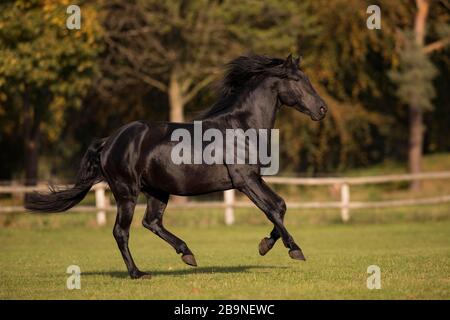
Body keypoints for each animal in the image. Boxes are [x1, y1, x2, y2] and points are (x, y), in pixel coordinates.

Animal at [27, 54, 326, 278]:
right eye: (297, 80)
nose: (322, 109)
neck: (243, 127)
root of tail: (109, 141)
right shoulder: (245, 180)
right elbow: (273, 208)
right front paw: (294, 249)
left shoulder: (253, 179)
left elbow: (280, 207)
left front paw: (264, 245)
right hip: (126, 191)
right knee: (121, 231)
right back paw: (138, 273)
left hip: (157, 191)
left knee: (151, 222)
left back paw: (187, 254)